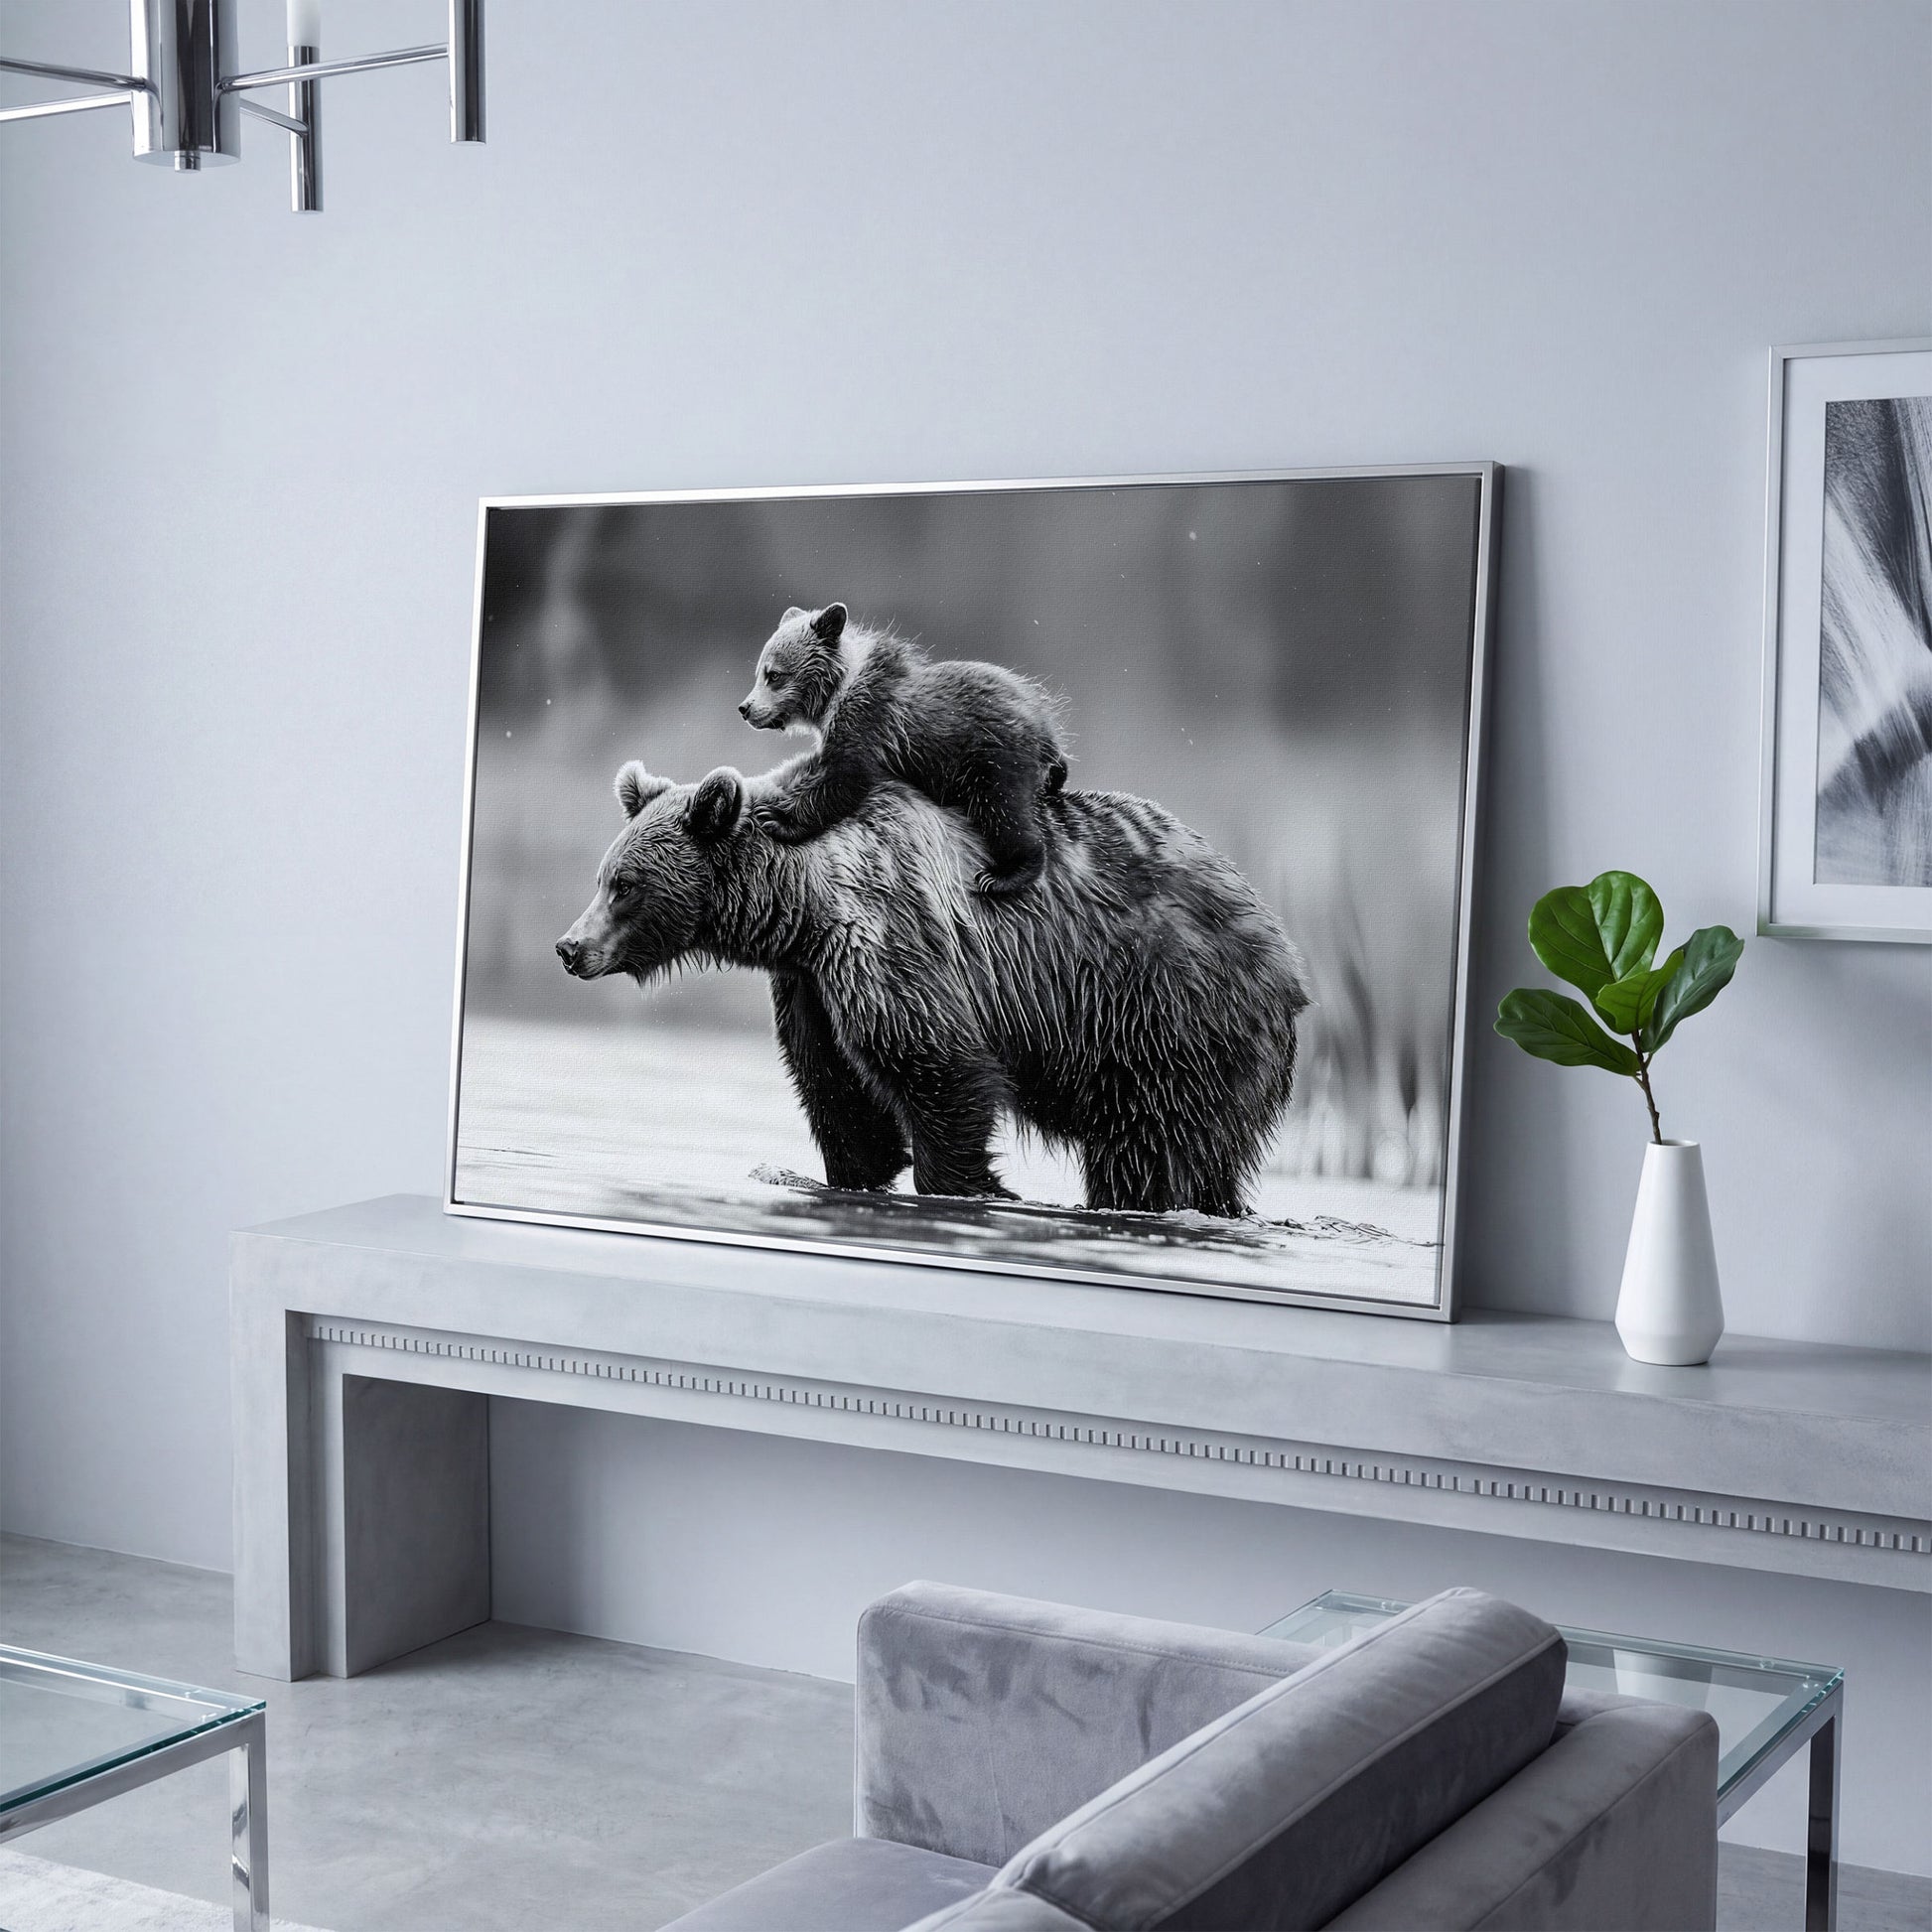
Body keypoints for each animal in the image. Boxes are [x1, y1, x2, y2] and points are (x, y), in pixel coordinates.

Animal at [555, 758, 1309, 1217]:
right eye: (603, 876)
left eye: (625, 885)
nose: (570, 947)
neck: (799, 908)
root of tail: (1283, 950)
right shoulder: (810, 988)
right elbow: (840, 1096)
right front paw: (856, 1171)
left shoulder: (891, 942)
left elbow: (938, 1069)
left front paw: (973, 1186)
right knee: (1203, 1162)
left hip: (1162, 1015)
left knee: (1150, 1149)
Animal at [736, 602, 1068, 896]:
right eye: (759, 672)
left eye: (774, 674)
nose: (746, 708)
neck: (836, 693)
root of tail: (1044, 724)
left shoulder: (868, 722)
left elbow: (845, 780)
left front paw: (775, 818)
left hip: (993, 755)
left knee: (1003, 810)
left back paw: (1004, 874)